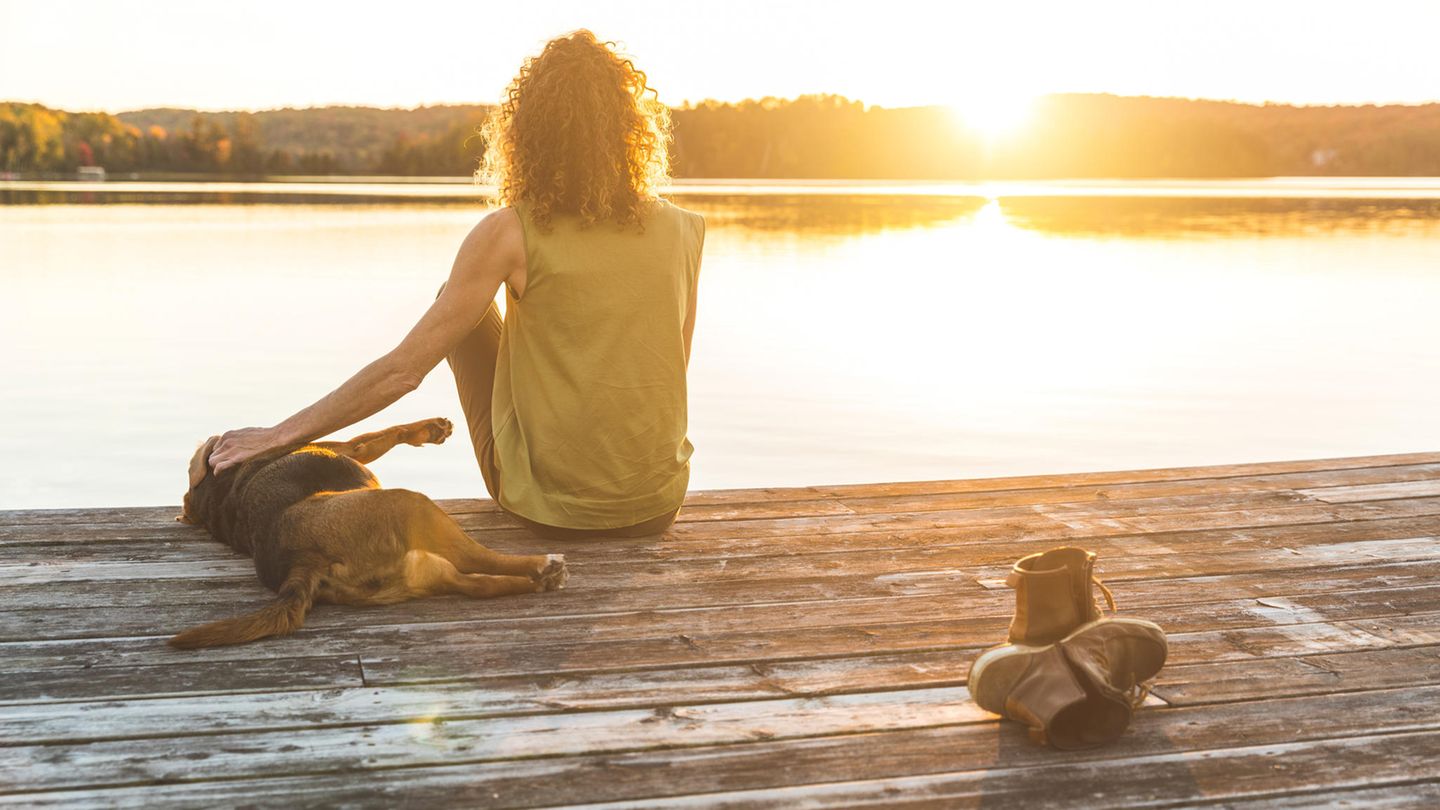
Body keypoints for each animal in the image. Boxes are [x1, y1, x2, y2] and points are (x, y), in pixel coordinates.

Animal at [174, 415, 567, 648]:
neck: (218, 491)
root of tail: (300, 561)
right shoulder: (350, 447)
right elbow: (382, 433)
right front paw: (430, 428)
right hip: (413, 505)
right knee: (478, 558)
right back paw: (543, 565)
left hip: (425, 570)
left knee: (479, 584)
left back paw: (536, 582)